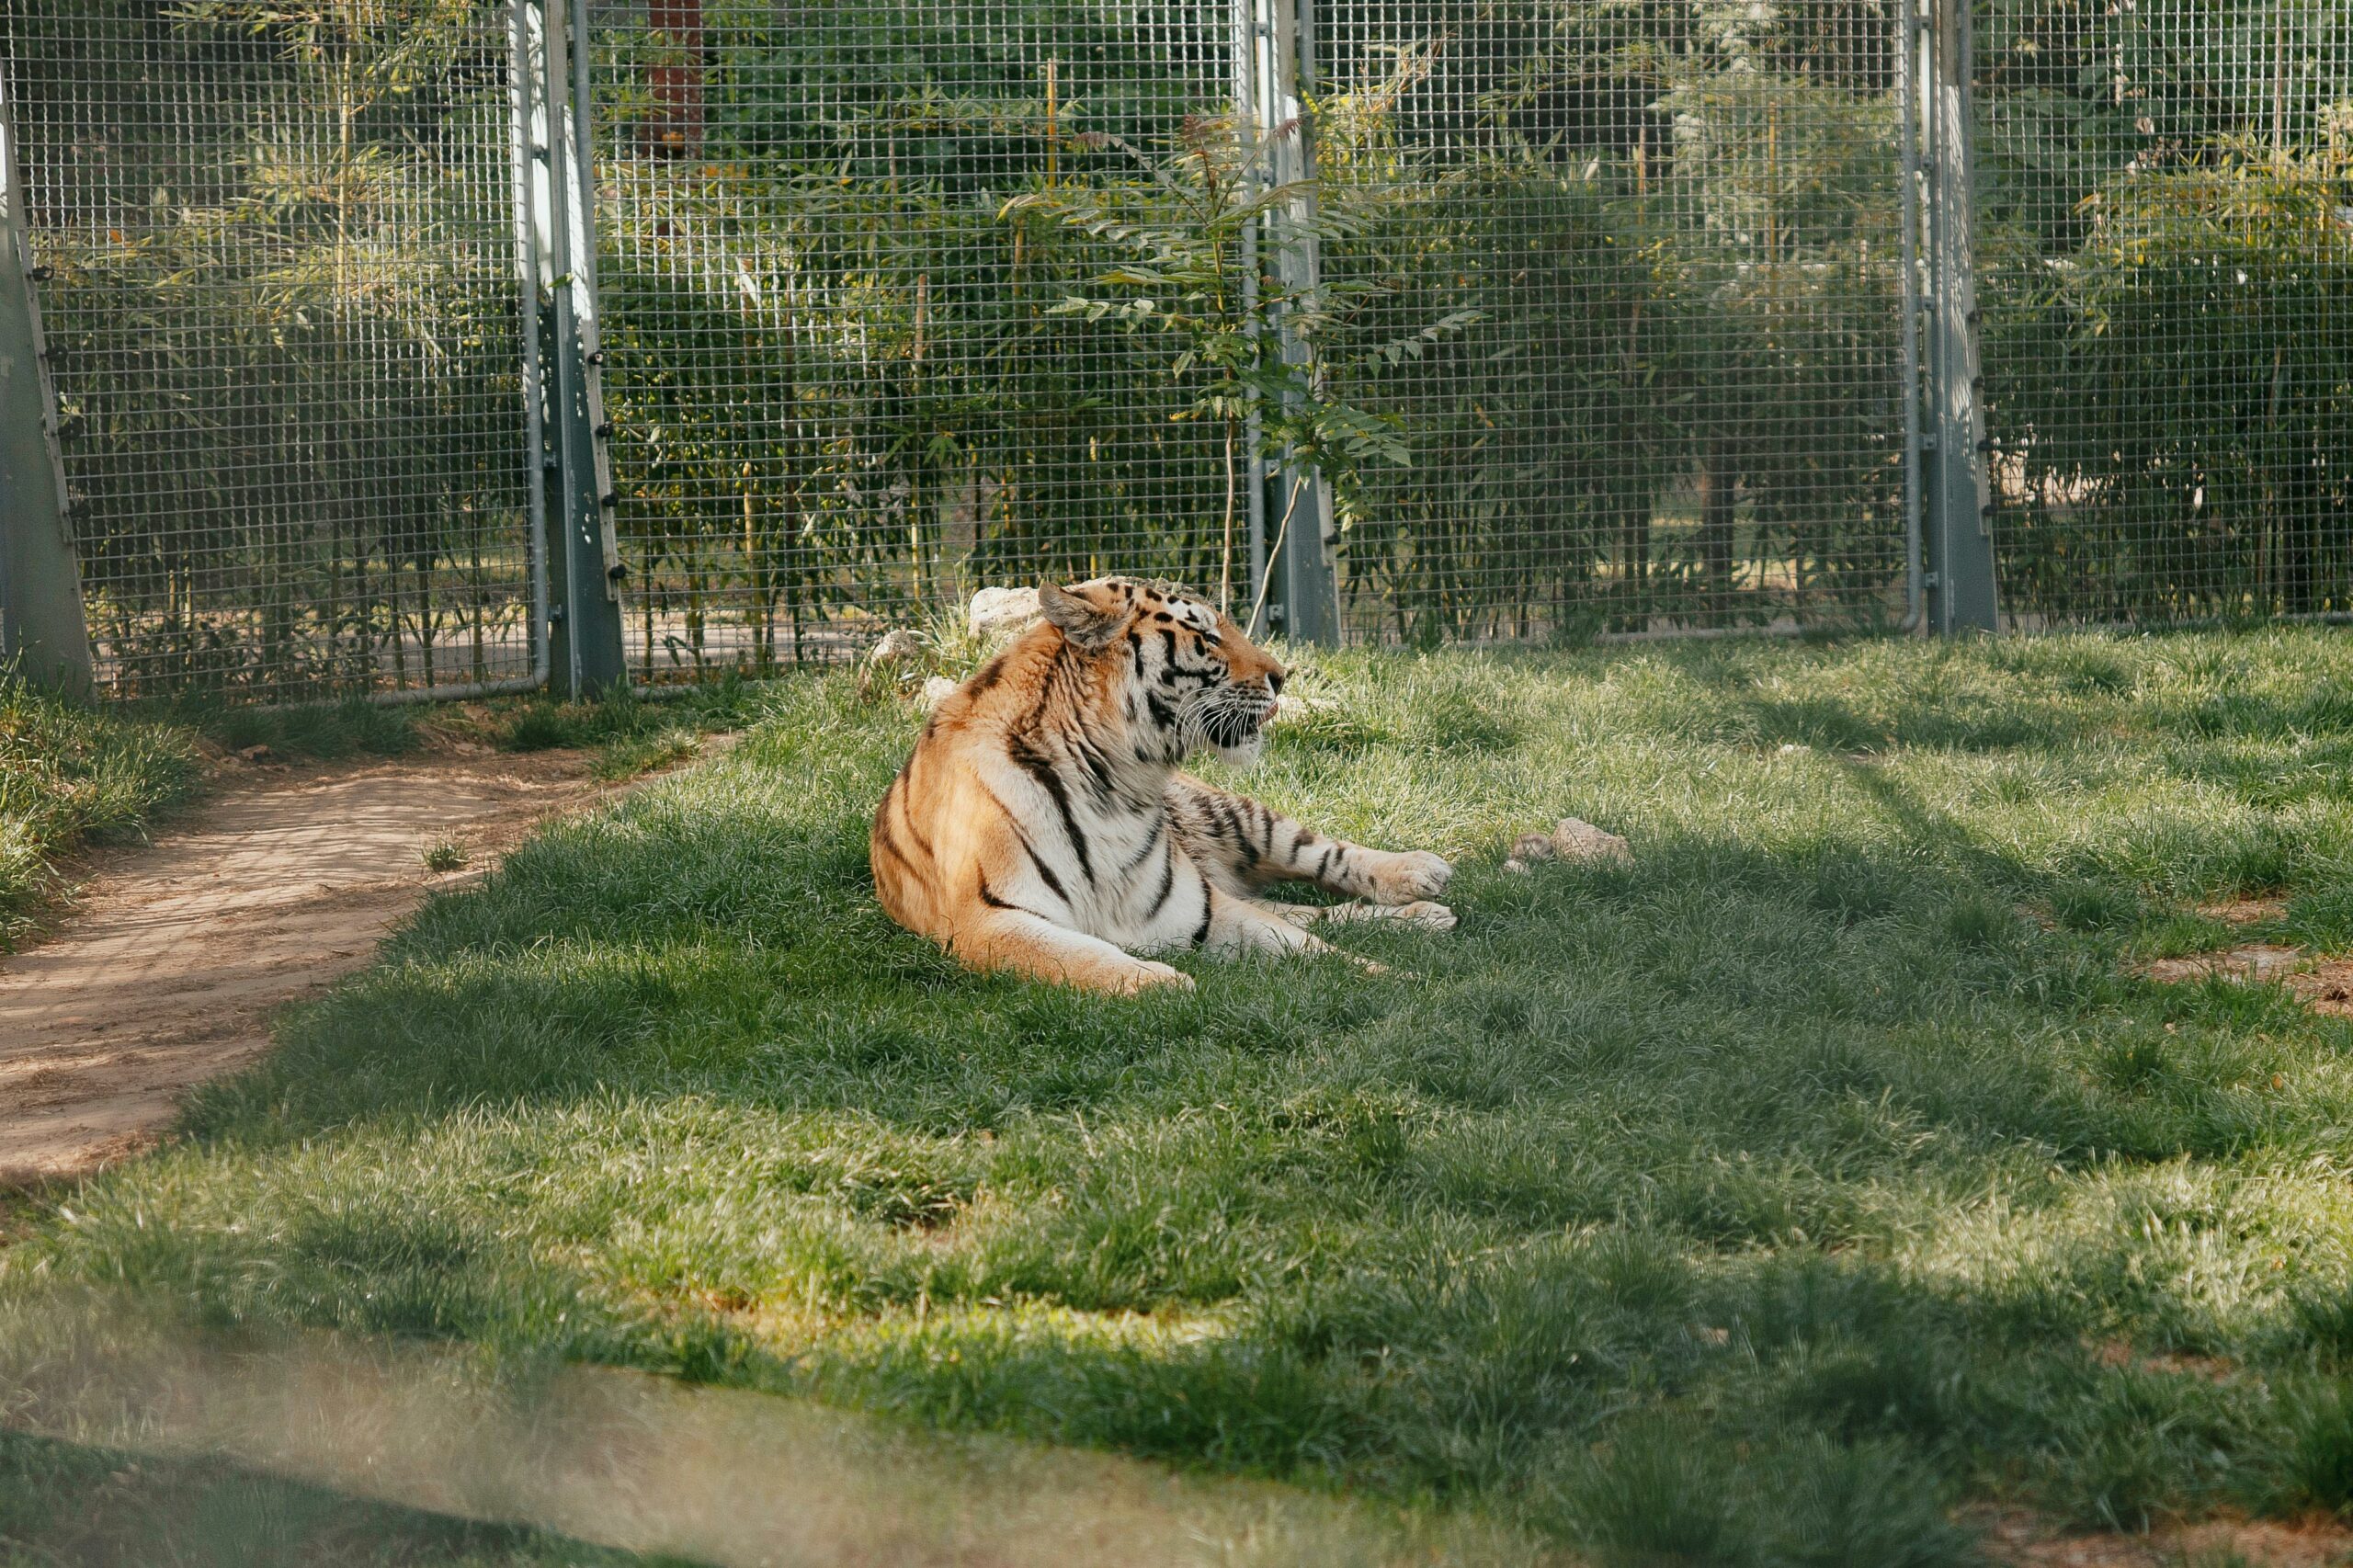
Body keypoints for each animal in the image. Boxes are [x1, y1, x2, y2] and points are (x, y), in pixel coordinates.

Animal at [866, 574, 1449, 988]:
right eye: (1208, 636)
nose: (1282, 677)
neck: (1113, 787)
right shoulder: (990, 920)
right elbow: (1083, 958)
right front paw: (1165, 984)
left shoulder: (1200, 907)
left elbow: (1312, 948)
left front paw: (1400, 979)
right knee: (1308, 912)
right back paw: (1427, 914)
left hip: (1234, 815)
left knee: (1322, 861)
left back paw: (1422, 879)